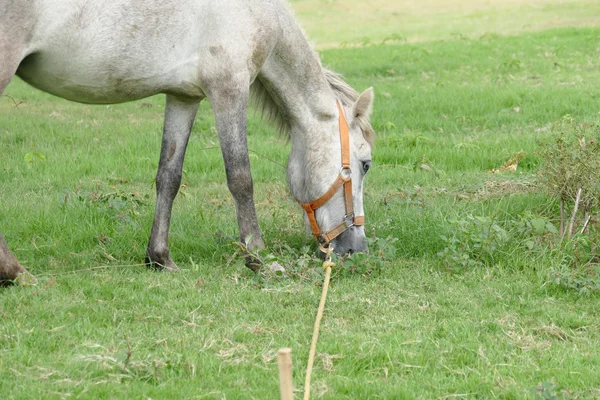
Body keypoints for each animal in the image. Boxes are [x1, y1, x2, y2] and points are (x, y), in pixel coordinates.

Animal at [0, 0, 376, 276]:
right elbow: (241, 178)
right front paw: (259, 259)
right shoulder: (229, 89)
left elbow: (169, 177)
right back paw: (14, 272)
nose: (356, 247)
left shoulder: (183, 98)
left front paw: (159, 258)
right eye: (365, 164)